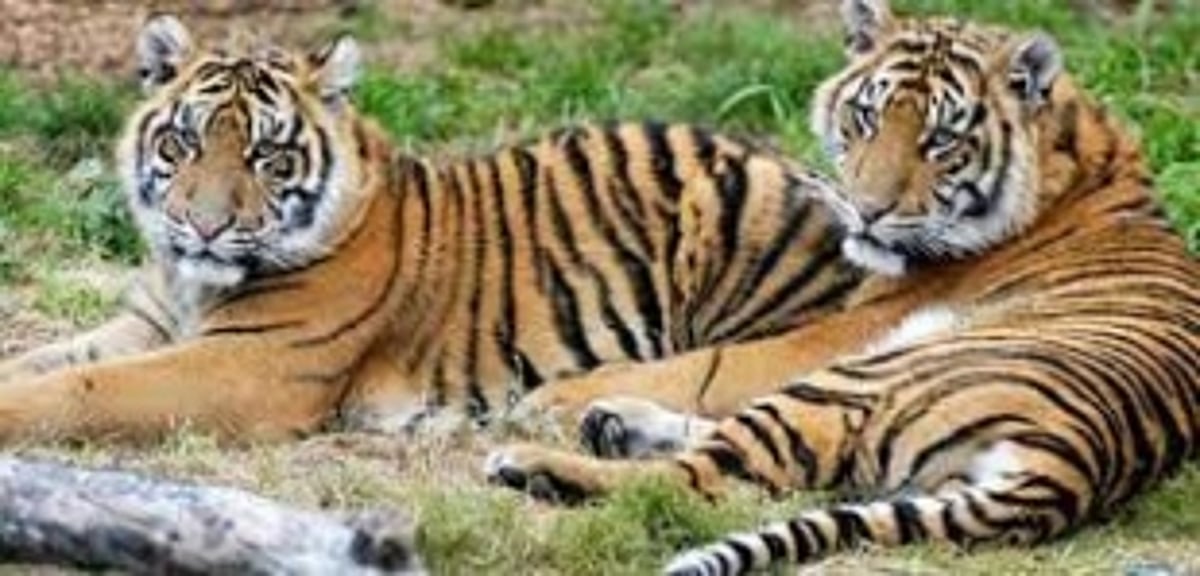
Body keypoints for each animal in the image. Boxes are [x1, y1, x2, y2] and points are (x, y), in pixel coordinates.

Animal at [0, 15, 863, 442]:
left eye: (267, 157)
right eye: (182, 143)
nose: (204, 227)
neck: (191, 284)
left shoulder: (248, 366)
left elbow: (85, 389)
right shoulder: (145, 326)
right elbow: (43, 360)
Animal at [484, 0, 1200, 573]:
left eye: (941, 140)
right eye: (867, 115)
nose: (866, 210)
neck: (1068, 167)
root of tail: (1072, 467)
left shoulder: (831, 336)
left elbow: (702, 364)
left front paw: (545, 397)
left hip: (862, 376)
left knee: (691, 480)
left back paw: (530, 460)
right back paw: (613, 425)